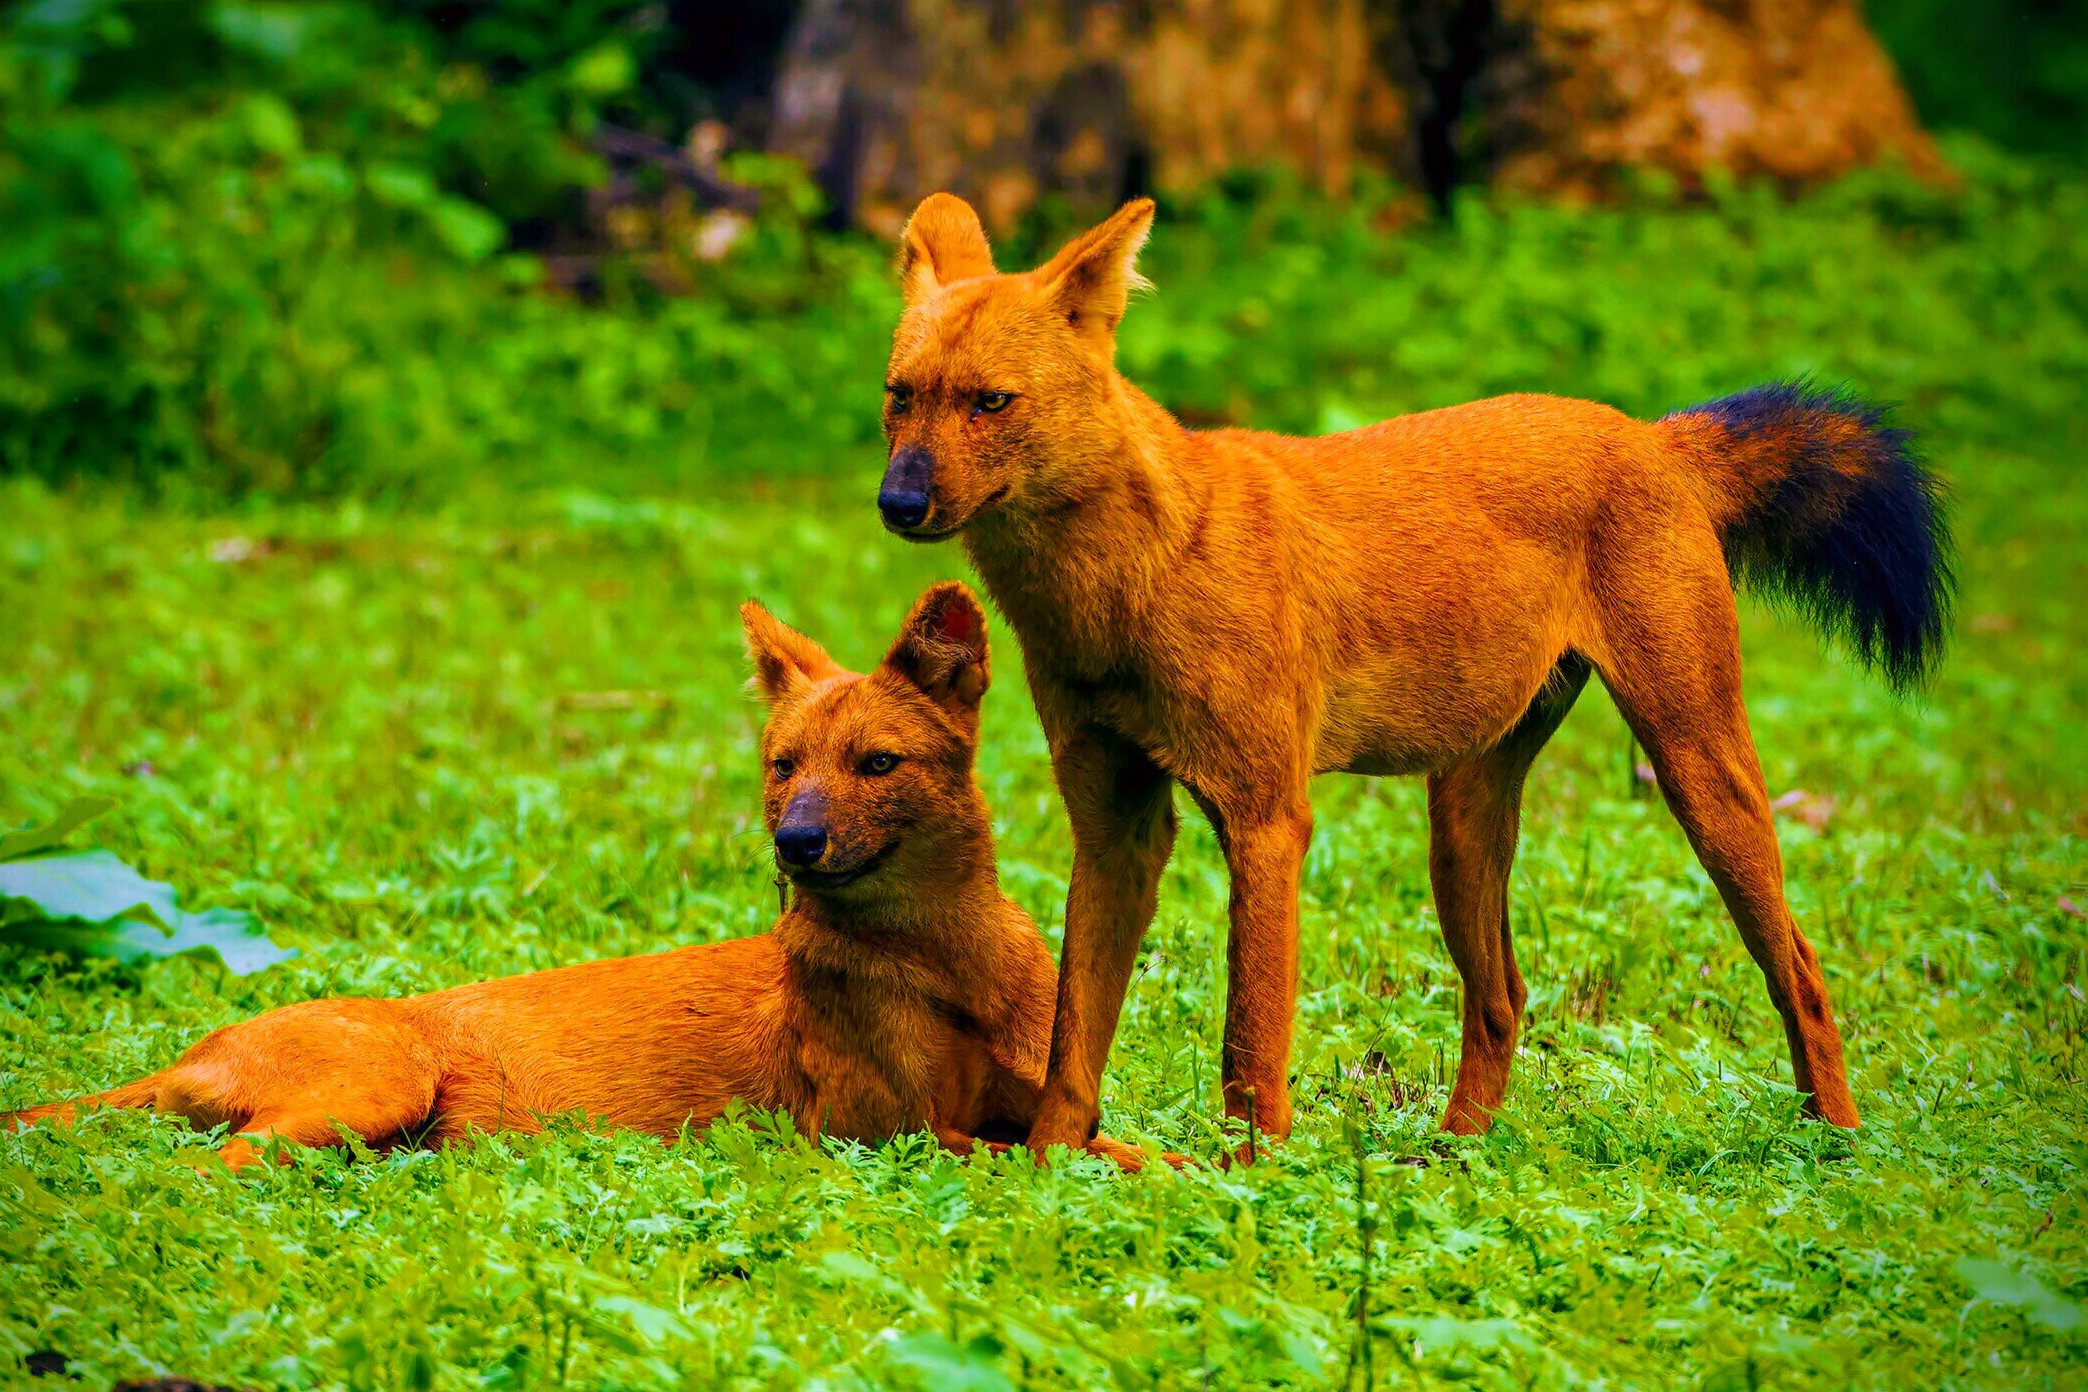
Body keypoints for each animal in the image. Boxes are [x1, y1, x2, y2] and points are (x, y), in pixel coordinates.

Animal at [4, 588, 1160, 1177]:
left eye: (876, 764)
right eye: (783, 766)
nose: (796, 842)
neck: (945, 961)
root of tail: (192, 1048)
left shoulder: (1038, 1103)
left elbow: (1121, 1146)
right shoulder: (879, 1132)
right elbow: (1040, 1161)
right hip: (376, 1083)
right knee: (210, 1165)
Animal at [872, 190, 1946, 1160]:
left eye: (990, 401)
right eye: (900, 396)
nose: (898, 502)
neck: (1120, 585)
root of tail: (1650, 432)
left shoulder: (1267, 816)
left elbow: (1249, 1041)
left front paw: (1248, 1181)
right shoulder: (1115, 825)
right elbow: (1072, 1041)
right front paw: (1052, 1173)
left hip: (1698, 769)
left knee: (1800, 967)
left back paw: (1836, 1148)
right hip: (1463, 818)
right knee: (1505, 996)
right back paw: (1448, 1158)